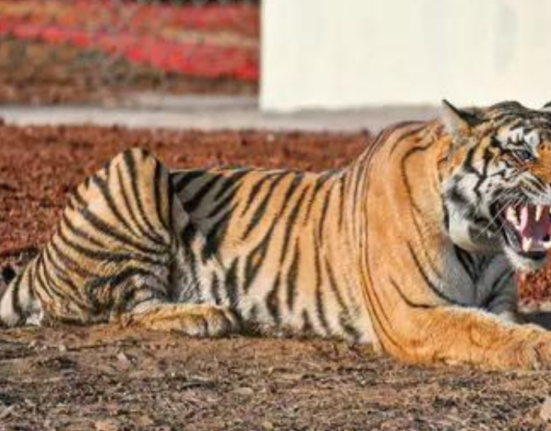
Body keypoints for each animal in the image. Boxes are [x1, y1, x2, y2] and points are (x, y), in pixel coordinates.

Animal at [3, 99, 551, 370]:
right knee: (124, 311)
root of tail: (41, 258)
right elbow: (481, 330)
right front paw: (540, 348)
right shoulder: (412, 311)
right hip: (137, 162)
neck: (483, 245)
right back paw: (205, 314)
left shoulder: (498, 301)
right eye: (521, 153)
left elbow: (500, 324)